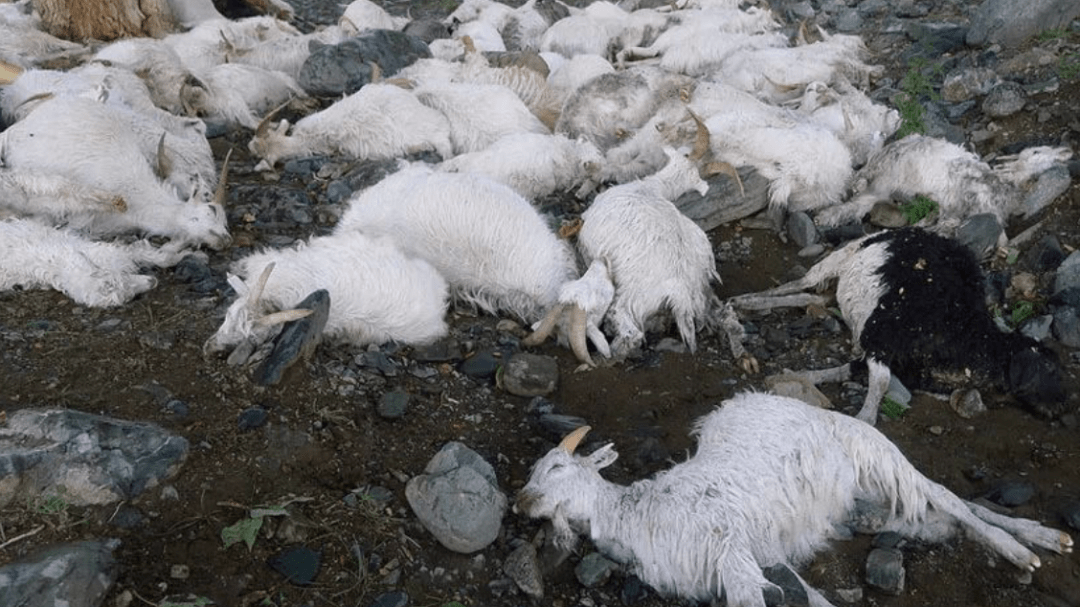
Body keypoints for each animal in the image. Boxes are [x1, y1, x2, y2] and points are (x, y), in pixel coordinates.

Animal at [518, 393, 1075, 604]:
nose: (521, 503)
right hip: (859, 496)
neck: (636, 514)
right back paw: (1043, 540)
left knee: (942, 494)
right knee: (940, 509)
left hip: (872, 449)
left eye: (557, 467)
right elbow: (805, 592)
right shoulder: (756, 553)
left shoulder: (731, 546)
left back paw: (1022, 550)